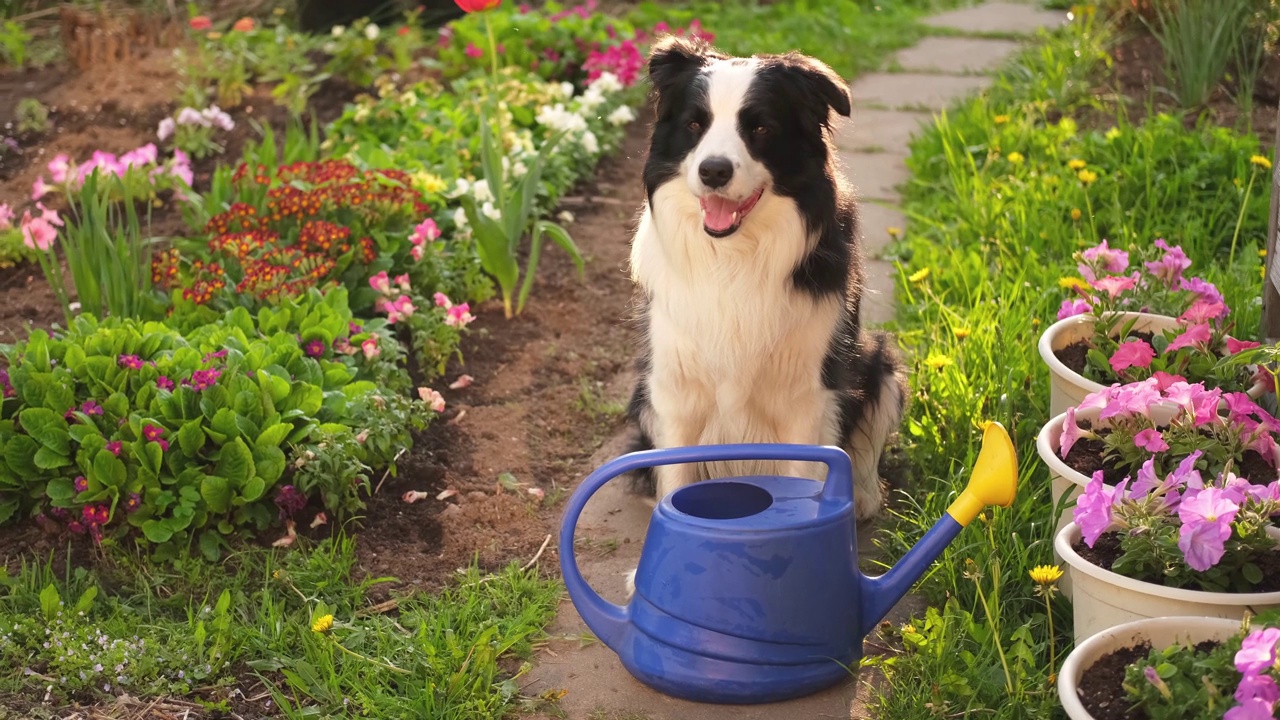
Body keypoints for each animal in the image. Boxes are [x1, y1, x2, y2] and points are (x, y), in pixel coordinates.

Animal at [622, 36, 906, 532]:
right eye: (695, 124)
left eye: (760, 128)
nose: (713, 171)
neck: (733, 257)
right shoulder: (674, 385)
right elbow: (674, 475)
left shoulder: (808, 392)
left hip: (878, 360)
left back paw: (864, 497)